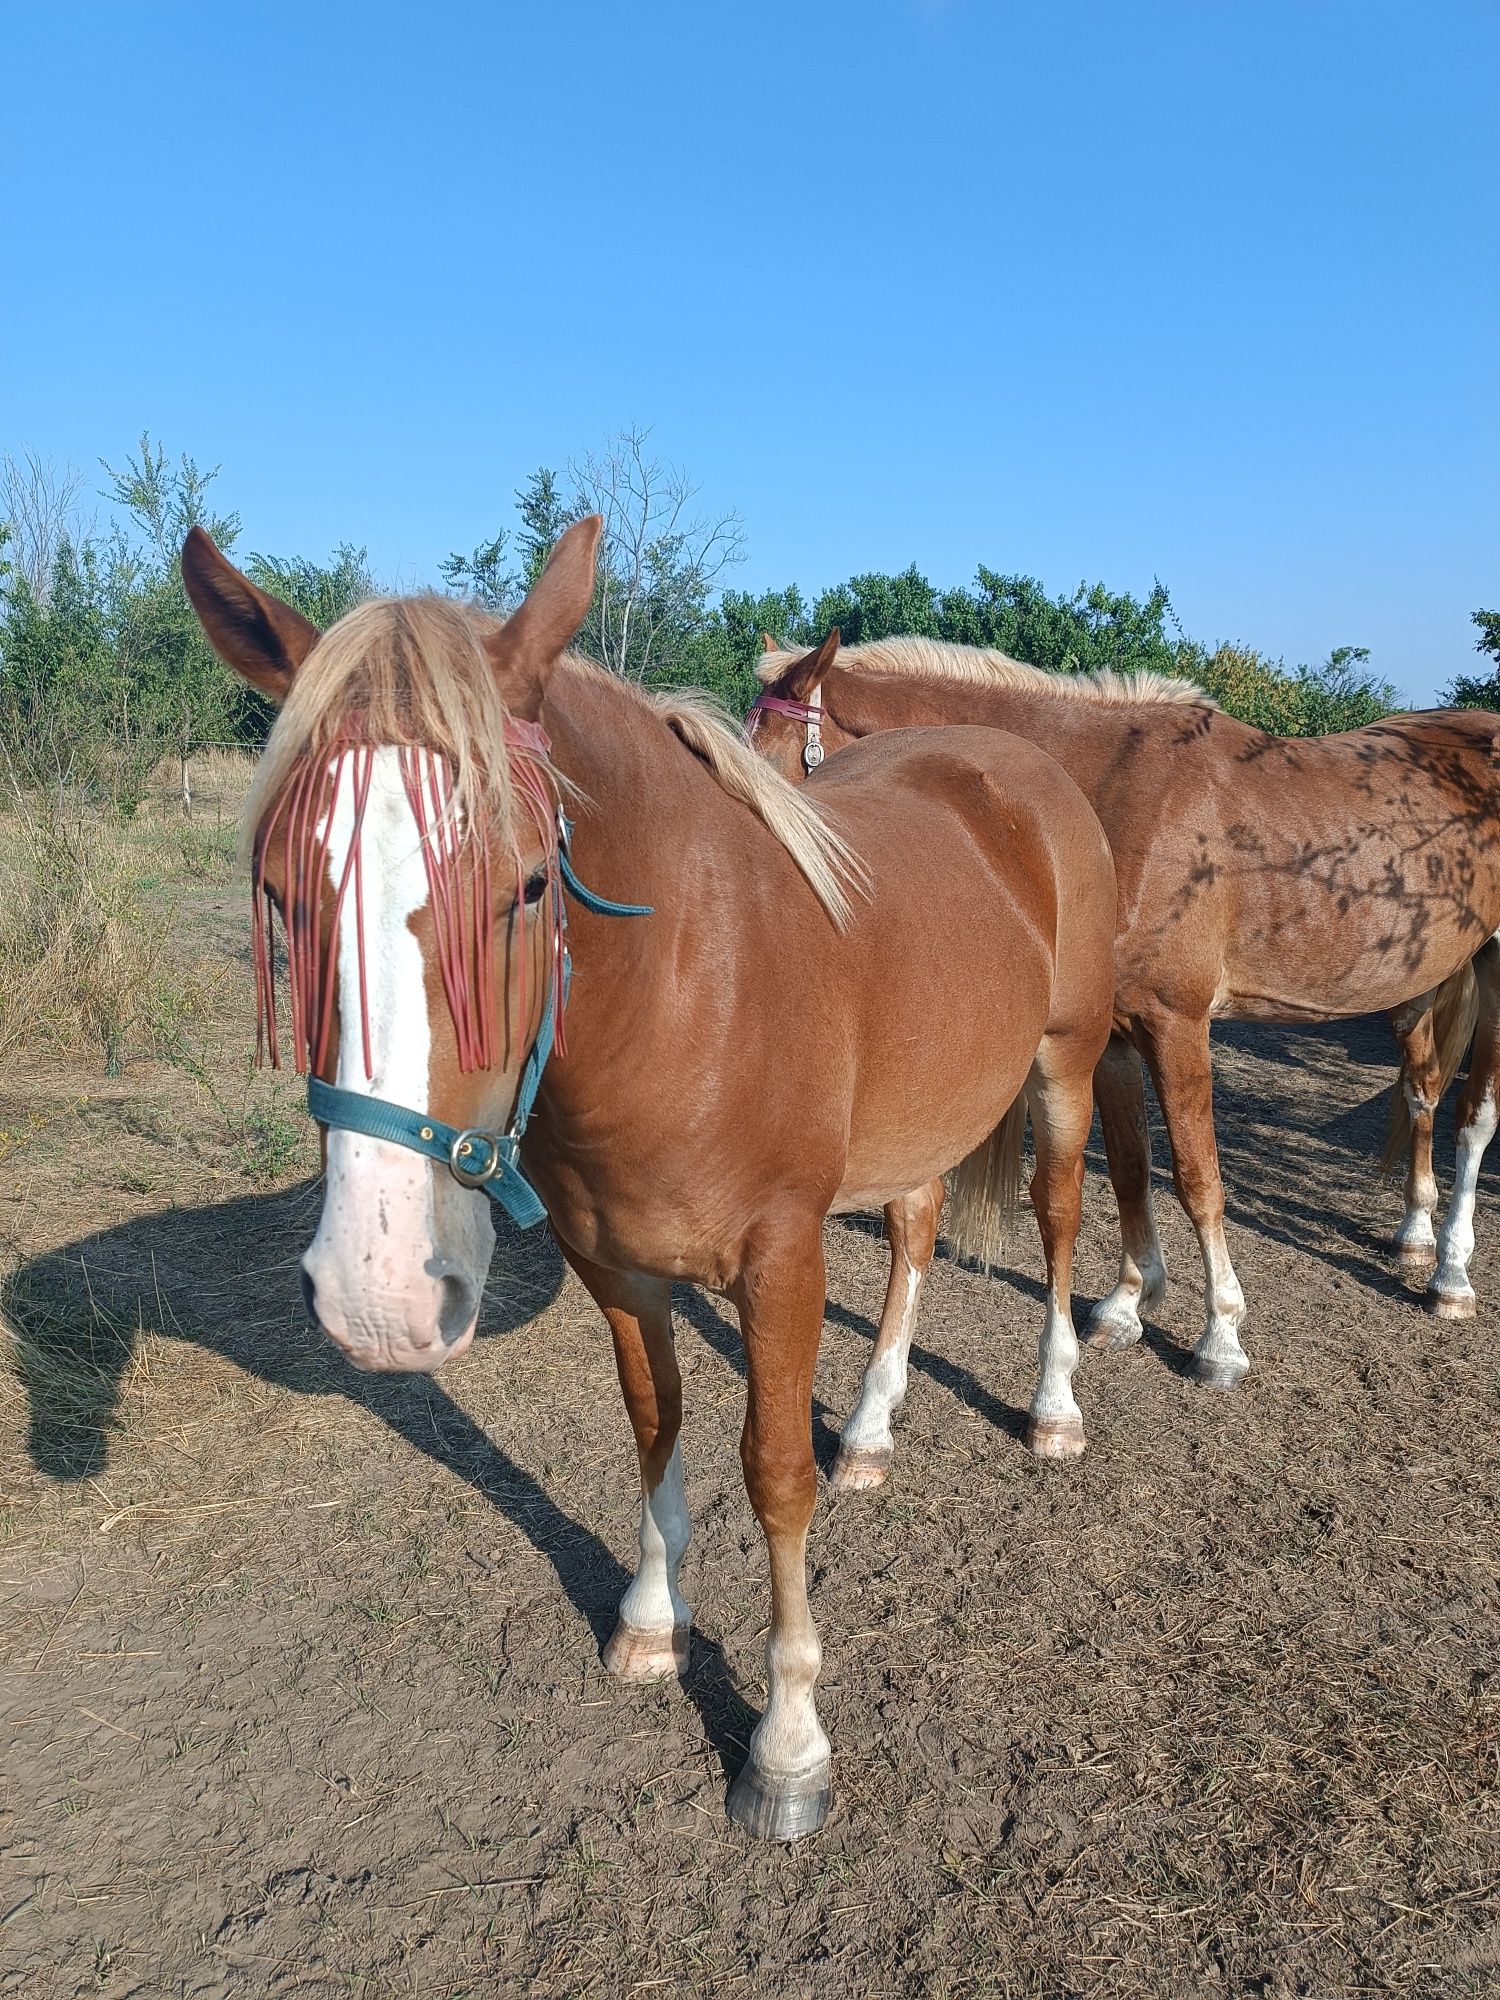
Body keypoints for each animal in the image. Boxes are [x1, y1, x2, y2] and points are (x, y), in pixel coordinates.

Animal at [179, 520, 1120, 1840]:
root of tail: (1016, 763)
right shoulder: (616, 1264)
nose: (381, 1294)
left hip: (1066, 1070)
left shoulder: (781, 1260)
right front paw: (649, 1620)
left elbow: (772, 1474)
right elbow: (653, 1424)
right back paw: (872, 1427)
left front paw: (787, 1747)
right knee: (918, 1230)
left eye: (530, 885)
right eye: (278, 888)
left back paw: (1052, 1408)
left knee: (1059, 1220)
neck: (690, 985)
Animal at [756, 632, 1500, 1432]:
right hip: (1417, 987)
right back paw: (1416, 1237)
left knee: (1474, 1115)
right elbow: (1129, 1167)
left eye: (772, 766)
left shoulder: (1176, 1025)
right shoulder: (1111, 1037)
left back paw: (1452, 1274)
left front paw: (1220, 1337)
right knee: (1423, 1092)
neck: (1106, 800)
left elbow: (1199, 1181)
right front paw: (1126, 1303)